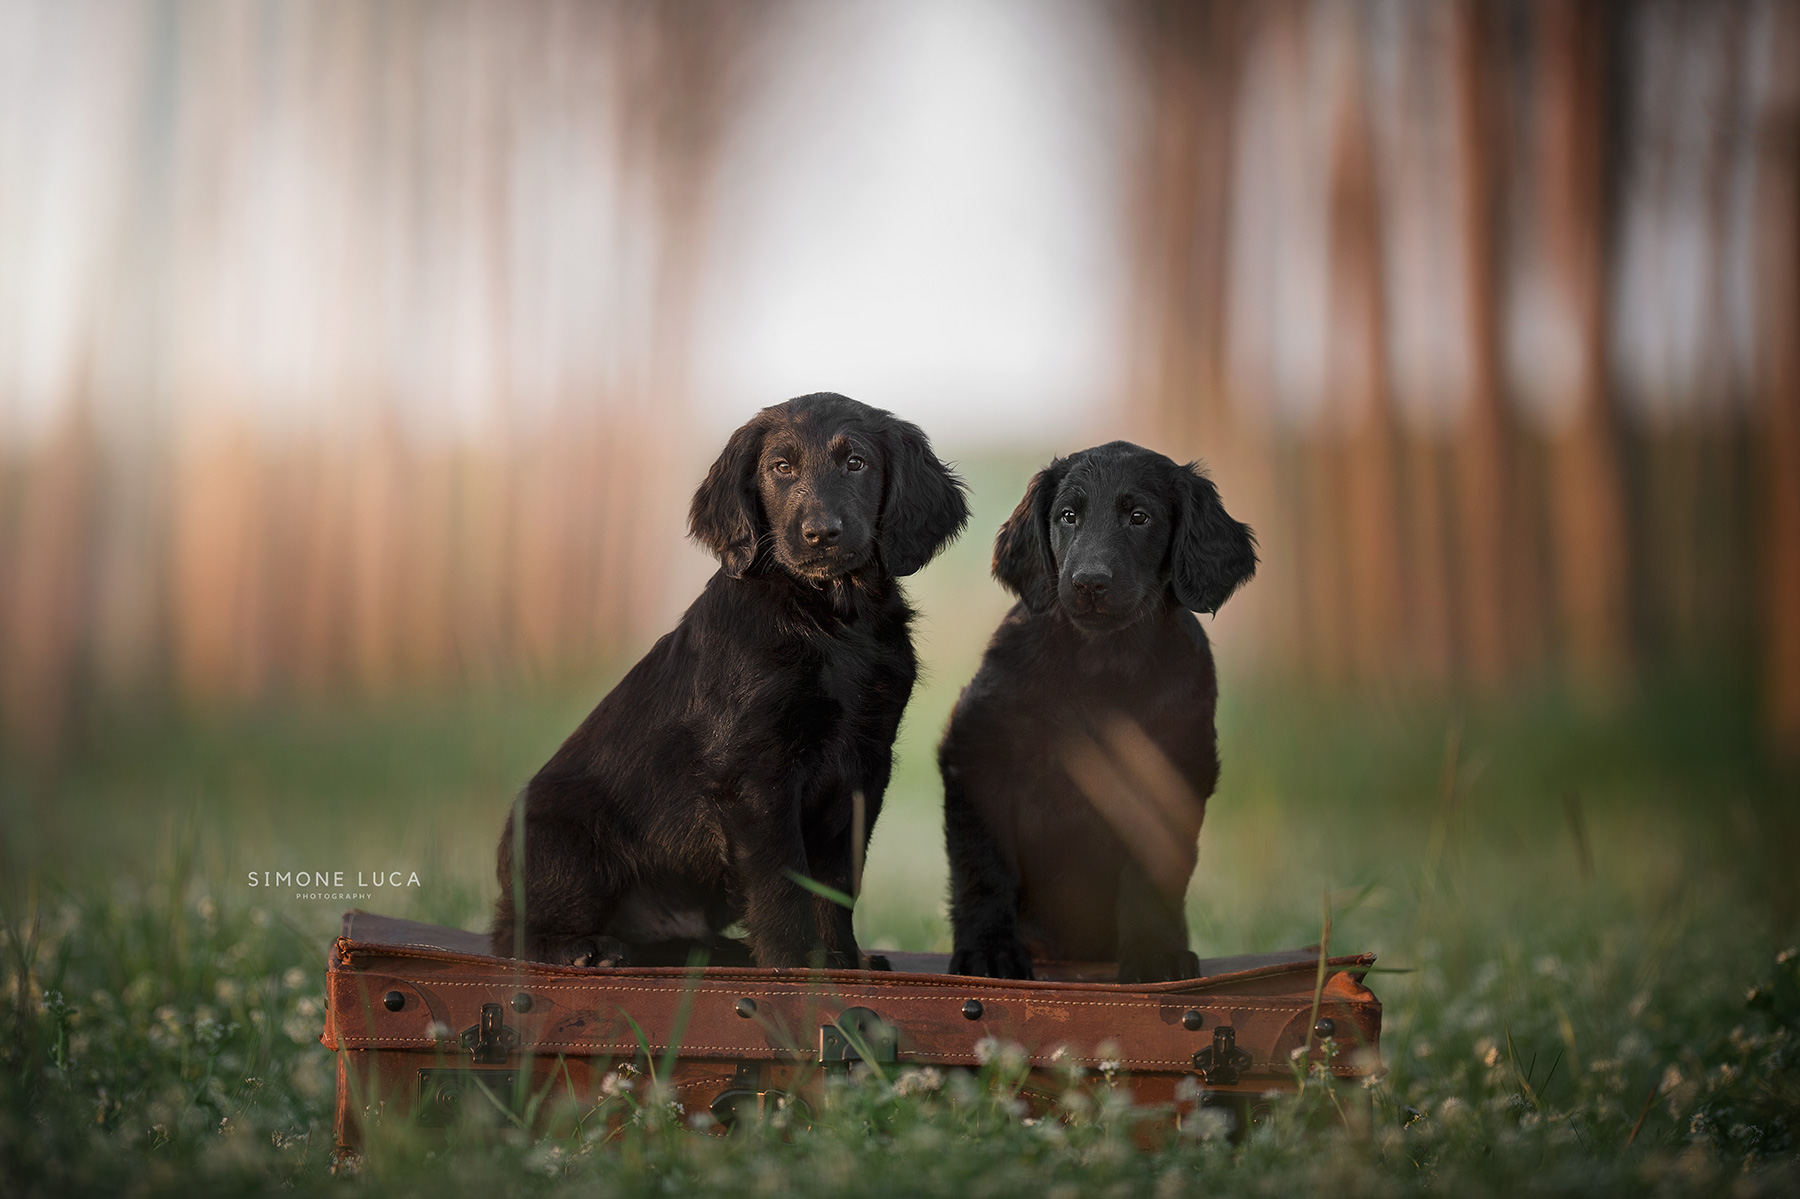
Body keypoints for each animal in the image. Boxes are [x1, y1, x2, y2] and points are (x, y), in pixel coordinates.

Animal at [489, 396, 972, 964]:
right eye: (780, 467)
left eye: (856, 463)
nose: (820, 534)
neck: (828, 618)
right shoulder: (757, 775)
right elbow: (779, 882)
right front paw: (793, 962)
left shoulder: (864, 765)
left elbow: (835, 882)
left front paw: (841, 961)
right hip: (565, 838)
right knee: (512, 933)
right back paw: (583, 948)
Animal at [936, 439, 1260, 979]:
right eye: (1068, 516)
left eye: (1139, 517)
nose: (1089, 582)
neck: (1099, 664)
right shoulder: (977, 751)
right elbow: (985, 865)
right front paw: (988, 951)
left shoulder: (1173, 767)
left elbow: (1152, 870)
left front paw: (1155, 953)